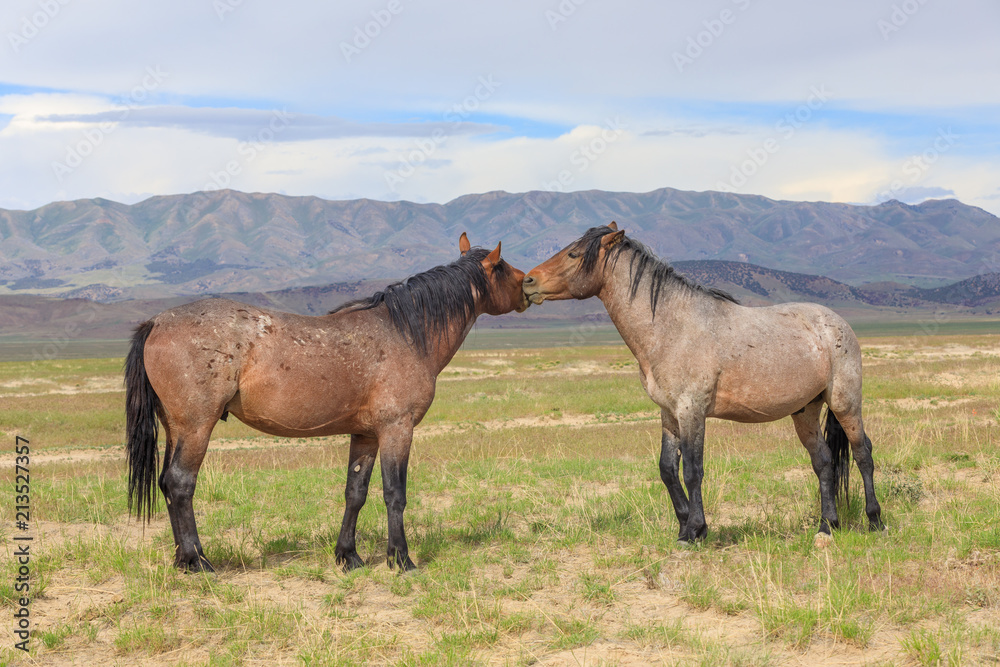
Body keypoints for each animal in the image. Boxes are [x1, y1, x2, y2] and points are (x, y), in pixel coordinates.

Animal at [124, 234, 528, 568]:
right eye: (504, 267)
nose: (530, 284)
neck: (406, 334)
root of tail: (155, 322)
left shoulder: (366, 435)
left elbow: (356, 493)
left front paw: (348, 556)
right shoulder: (397, 430)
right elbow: (394, 494)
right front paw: (400, 559)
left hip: (176, 427)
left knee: (167, 484)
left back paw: (183, 559)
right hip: (196, 427)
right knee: (180, 483)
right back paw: (197, 560)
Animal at [524, 224, 884, 544]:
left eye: (573, 254)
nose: (528, 281)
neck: (672, 327)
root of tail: (835, 321)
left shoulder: (691, 411)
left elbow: (692, 470)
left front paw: (695, 531)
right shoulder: (669, 414)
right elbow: (667, 469)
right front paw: (686, 527)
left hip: (845, 403)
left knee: (862, 453)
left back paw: (874, 521)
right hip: (806, 410)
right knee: (823, 462)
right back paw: (827, 526)